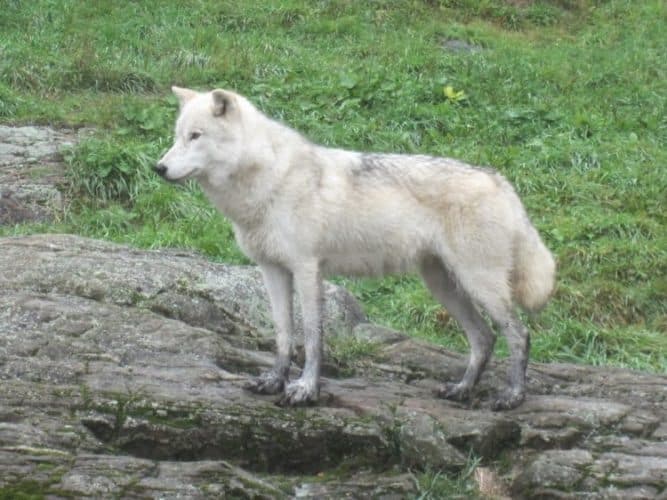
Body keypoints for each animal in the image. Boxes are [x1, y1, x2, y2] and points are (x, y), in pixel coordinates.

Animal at [158, 87, 560, 410]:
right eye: (177, 136)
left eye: (196, 136)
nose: (158, 168)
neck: (267, 180)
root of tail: (500, 180)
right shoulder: (272, 270)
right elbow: (284, 334)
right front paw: (273, 381)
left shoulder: (307, 268)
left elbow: (312, 337)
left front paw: (305, 390)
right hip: (444, 286)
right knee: (484, 338)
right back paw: (461, 390)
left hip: (479, 284)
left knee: (519, 335)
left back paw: (511, 397)